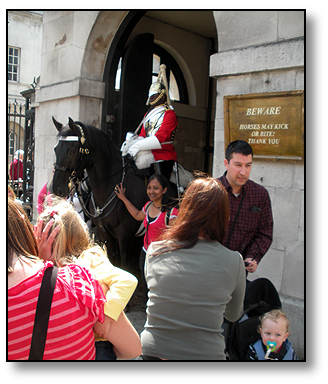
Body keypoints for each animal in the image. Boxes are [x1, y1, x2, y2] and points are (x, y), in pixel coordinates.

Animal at [51, 117, 150, 272]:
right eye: (56, 149)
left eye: (71, 151)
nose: (57, 188)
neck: (111, 183)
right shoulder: (106, 236)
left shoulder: (125, 238)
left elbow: (124, 266)